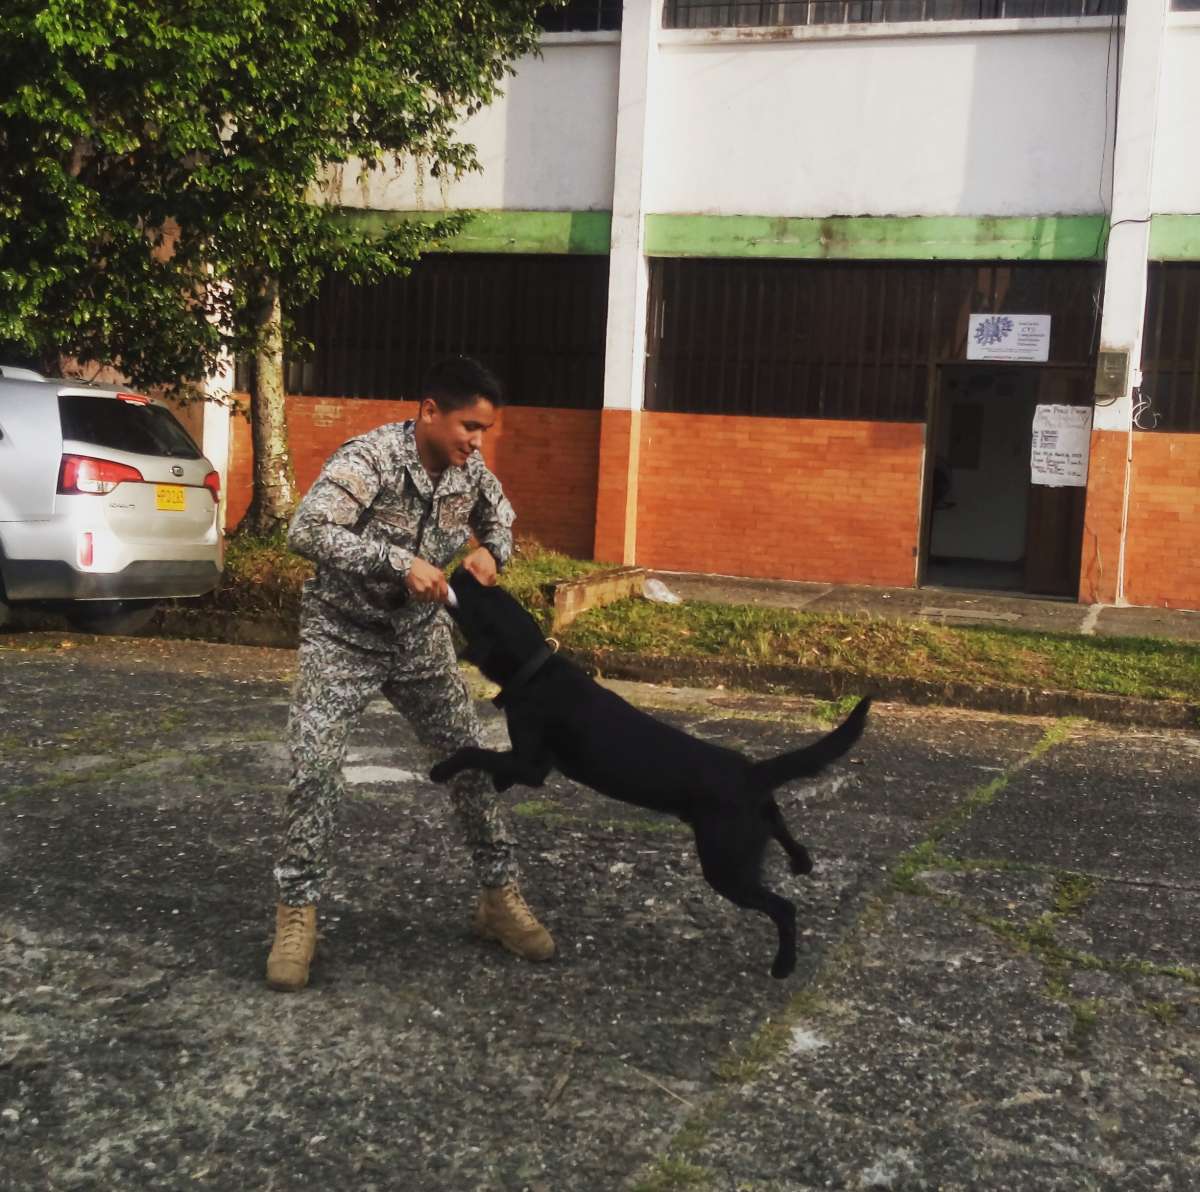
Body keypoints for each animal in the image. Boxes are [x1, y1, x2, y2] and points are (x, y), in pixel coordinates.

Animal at [434, 568, 873, 974]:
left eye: (480, 594)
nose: (462, 569)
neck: (535, 671)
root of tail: (753, 772)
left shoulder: (532, 764)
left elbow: (476, 751)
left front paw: (443, 768)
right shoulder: (530, 763)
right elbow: (496, 762)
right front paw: (495, 781)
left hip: (726, 866)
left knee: (784, 908)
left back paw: (783, 964)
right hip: (753, 832)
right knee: (788, 839)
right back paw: (801, 864)